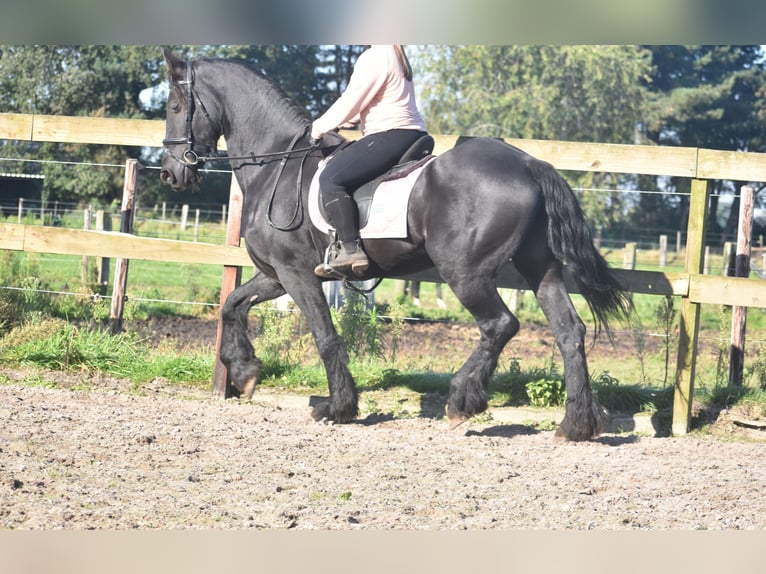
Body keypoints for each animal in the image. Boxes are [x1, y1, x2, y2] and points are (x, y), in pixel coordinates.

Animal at [160, 50, 632, 446]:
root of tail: (529, 163)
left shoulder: (296, 274)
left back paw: (462, 401)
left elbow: (325, 336)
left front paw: (337, 407)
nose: (170, 174)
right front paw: (244, 372)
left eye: (174, 107)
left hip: (465, 272)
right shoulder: (277, 275)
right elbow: (232, 305)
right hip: (540, 267)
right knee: (569, 331)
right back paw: (576, 425)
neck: (277, 166)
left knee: (499, 325)